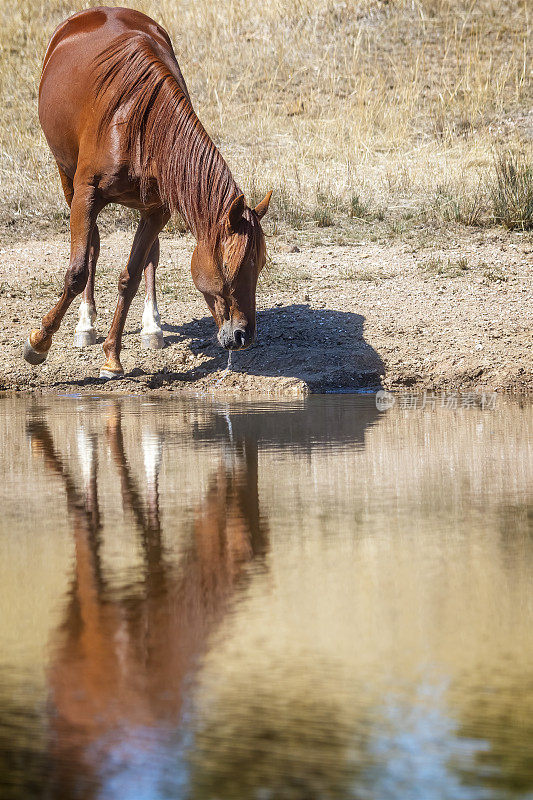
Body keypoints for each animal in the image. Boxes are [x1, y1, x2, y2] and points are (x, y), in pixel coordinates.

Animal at [24, 7, 270, 378]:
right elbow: (78, 271)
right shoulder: (86, 194)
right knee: (92, 247)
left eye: (260, 265)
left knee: (150, 258)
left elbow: (131, 276)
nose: (244, 336)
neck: (138, 125)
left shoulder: (158, 210)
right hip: (66, 177)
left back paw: (152, 326)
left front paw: (113, 358)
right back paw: (85, 323)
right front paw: (39, 342)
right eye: (233, 266)